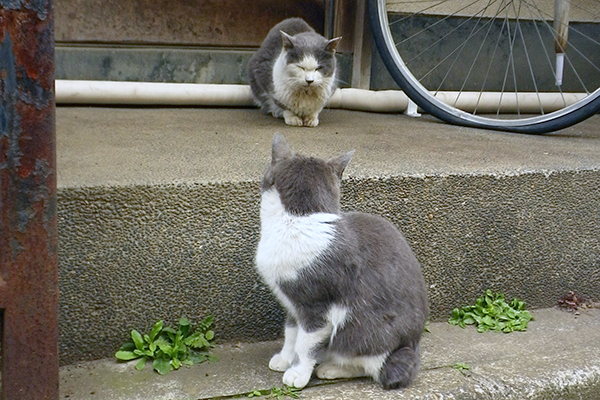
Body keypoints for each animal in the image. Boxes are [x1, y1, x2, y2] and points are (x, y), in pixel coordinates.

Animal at [255, 133, 428, 390]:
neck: (297, 219)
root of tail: (412, 345)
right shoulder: (293, 304)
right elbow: (291, 333)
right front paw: (285, 359)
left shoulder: (317, 308)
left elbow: (305, 344)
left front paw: (298, 373)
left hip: (365, 332)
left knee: (372, 367)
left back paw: (331, 368)